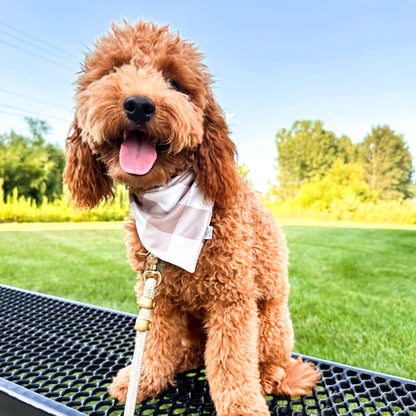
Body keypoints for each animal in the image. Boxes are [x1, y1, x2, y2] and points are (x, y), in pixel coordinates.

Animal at [63, 20, 320, 416]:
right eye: (113, 70)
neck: (167, 209)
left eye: (174, 82)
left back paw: (268, 377)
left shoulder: (233, 299)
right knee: (196, 351)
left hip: (270, 322)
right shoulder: (158, 294)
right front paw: (144, 381)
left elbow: (230, 363)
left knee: (266, 361)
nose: (139, 104)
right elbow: (155, 344)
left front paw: (242, 407)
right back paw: (183, 359)